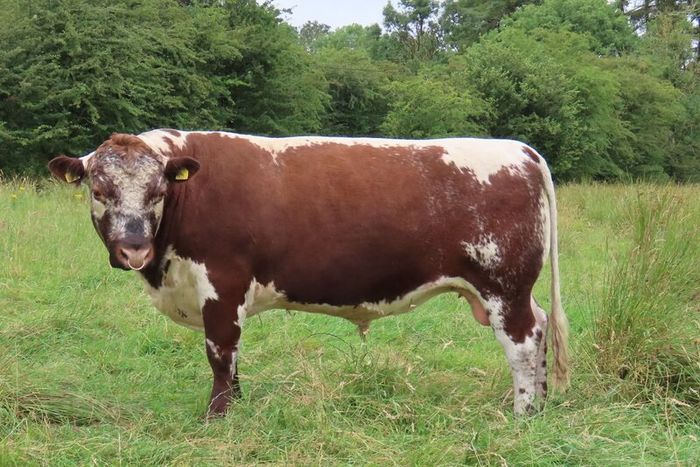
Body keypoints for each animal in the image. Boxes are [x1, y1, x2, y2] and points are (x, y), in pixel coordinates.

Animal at [48, 130, 569, 418]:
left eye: (157, 190)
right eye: (99, 189)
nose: (133, 247)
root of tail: (521, 150)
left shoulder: (221, 282)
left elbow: (220, 351)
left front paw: (217, 416)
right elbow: (233, 357)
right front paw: (238, 405)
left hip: (503, 283)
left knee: (522, 341)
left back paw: (523, 412)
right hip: (512, 288)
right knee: (541, 326)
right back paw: (540, 402)